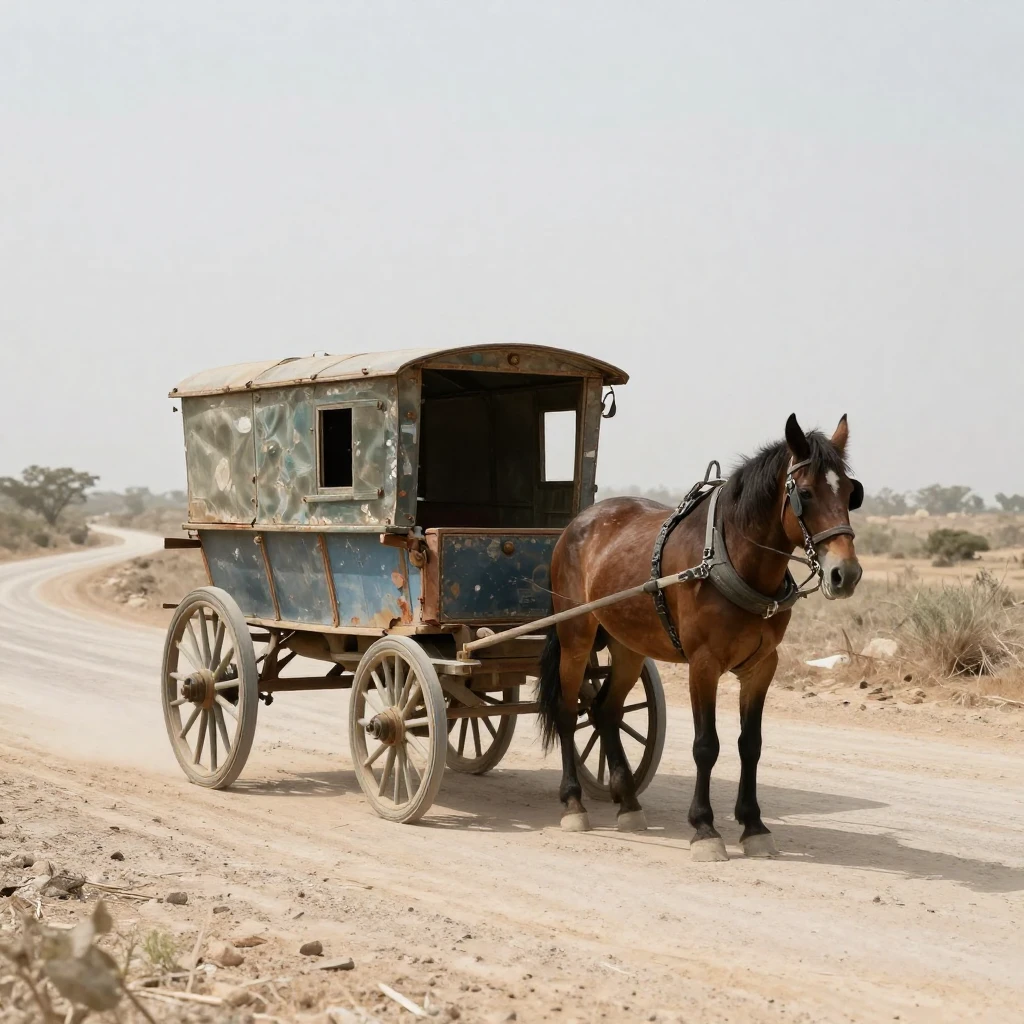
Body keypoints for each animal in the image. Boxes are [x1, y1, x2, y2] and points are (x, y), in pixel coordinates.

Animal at [536, 414, 863, 860]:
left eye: (850, 492)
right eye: (807, 493)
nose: (845, 574)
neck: (734, 559)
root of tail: (578, 523)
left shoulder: (763, 667)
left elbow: (750, 744)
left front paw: (754, 825)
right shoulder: (703, 665)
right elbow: (706, 745)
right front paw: (705, 828)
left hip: (628, 646)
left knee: (605, 711)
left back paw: (629, 804)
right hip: (575, 636)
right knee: (569, 712)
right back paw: (573, 803)